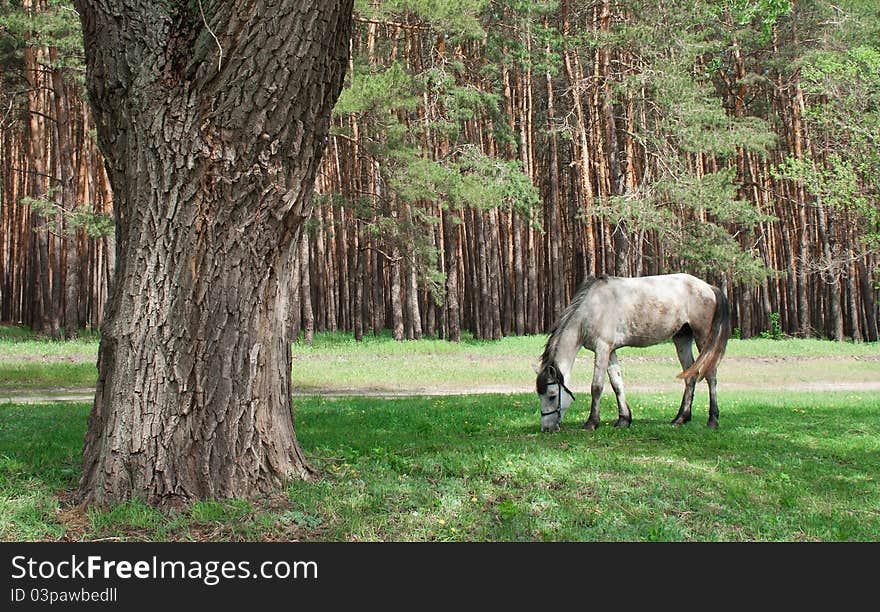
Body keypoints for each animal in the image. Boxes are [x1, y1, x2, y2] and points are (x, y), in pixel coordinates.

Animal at [532, 274, 732, 432]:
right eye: (539, 395)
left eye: (552, 395)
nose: (547, 428)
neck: (592, 308)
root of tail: (709, 287)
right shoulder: (610, 351)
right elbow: (617, 384)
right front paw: (624, 419)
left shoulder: (602, 348)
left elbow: (596, 387)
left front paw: (592, 422)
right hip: (682, 338)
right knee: (690, 375)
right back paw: (680, 418)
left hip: (703, 337)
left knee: (710, 375)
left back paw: (712, 420)